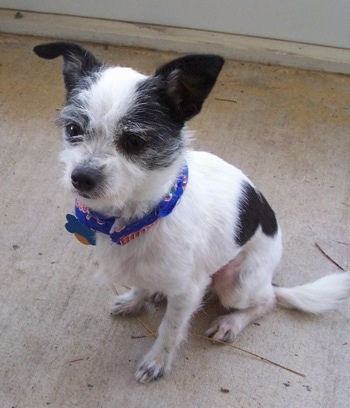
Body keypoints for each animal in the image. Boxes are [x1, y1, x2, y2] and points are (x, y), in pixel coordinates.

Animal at [33, 43, 350, 384]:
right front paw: (135, 300)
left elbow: (170, 330)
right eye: (73, 129)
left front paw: (158, 361)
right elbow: (141, 284)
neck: (141, 214)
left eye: (134, 141)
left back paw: (231, 323)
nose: (81, 177)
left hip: (237, 284)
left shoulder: (188, 291)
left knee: (267, 301)